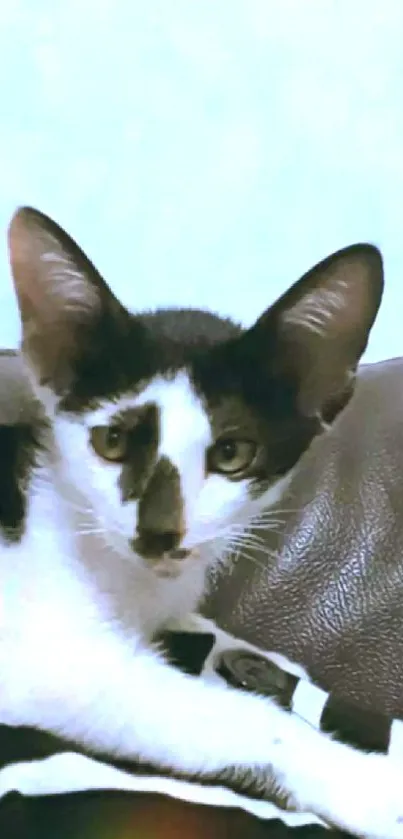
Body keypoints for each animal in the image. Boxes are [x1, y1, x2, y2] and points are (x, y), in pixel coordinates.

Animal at [1, 205, 402, 839]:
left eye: (232, 454)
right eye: (112, 442)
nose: (158, 533)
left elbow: (212, 632)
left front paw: (267, 663)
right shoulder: (48, 662)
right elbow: (235, 717)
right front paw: (365, 782)